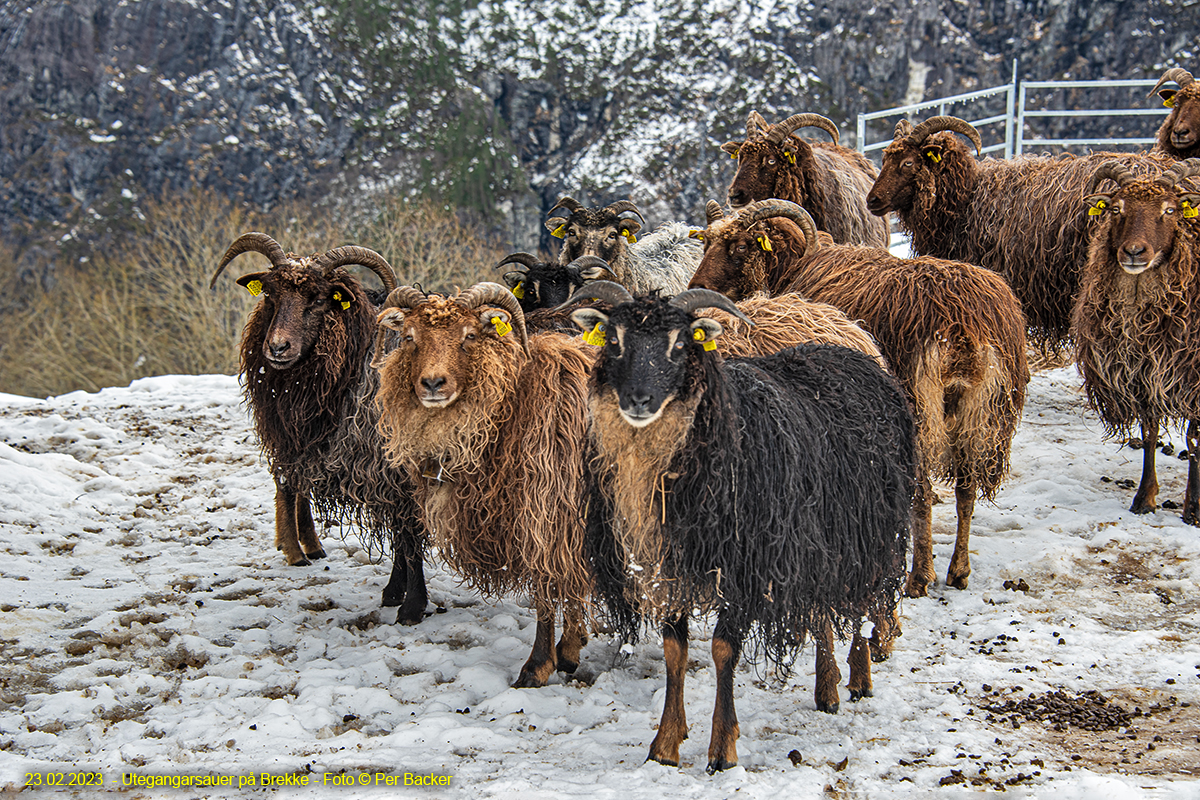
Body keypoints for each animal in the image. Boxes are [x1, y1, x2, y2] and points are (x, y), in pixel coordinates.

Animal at [211, 231, 427, 623]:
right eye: (270, 294)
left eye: (319, 298)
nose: (277, 348)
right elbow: (402, 534)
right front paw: (398, 593)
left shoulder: (395, 469)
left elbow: (407, 534)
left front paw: (411, 603)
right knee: (286, 481)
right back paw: (298, 548)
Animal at [566, 283, 912, 777]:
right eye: (613, 340)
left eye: (680, 344)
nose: (637, 401)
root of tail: (859, 356)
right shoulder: (670, 566)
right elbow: (675, 650)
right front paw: (665, 745)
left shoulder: (746, 565)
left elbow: (723, 650)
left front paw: (721, 750)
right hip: (817, 545)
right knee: (822, 610)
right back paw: (826, 688)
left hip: (867, 534)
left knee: (860, 601)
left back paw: (859, 678)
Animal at [691, 203, 1027, 597]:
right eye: (706, 242)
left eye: (742, 246)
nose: (697, 290)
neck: (796, 264)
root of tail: (963, 328)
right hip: (986, 412)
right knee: (966, 490)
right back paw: (958, 571)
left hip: (919, 404)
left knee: (923, 494)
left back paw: (919, 577)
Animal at [1070, 159, 1200, 522]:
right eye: (1117, 208)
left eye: (1170, 210)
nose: (1134, 252)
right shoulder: (1142, 372)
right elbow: (1150, 431)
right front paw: (1145, 498)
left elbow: (1194, 440)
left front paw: (1194, 508)